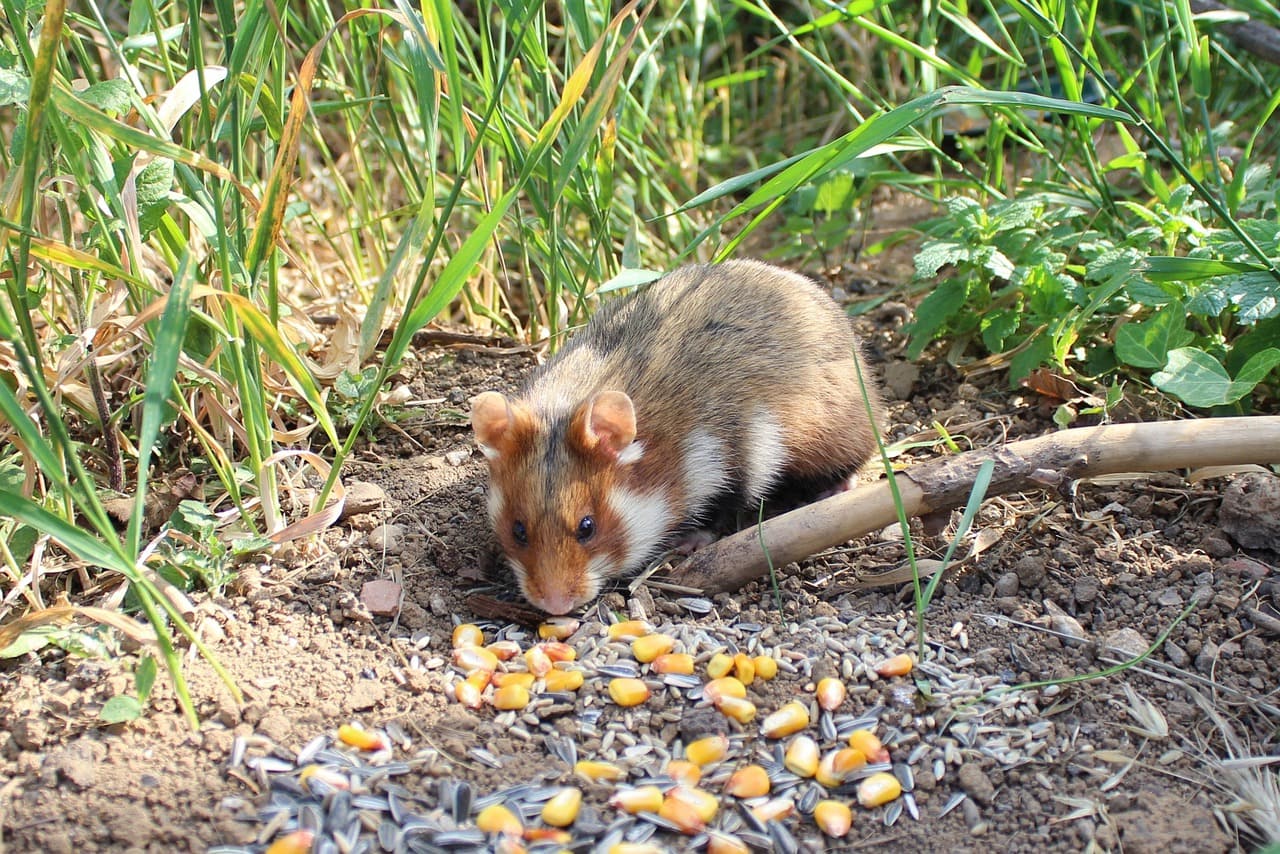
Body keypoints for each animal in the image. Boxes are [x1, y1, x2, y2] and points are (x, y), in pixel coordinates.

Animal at [471, 260, 882, 615]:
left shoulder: (737, 455)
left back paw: (834, 490)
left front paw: (687, 543)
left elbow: (722, 508)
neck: (659, 457)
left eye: (587, 527)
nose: (555, 606)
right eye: (518, 530)